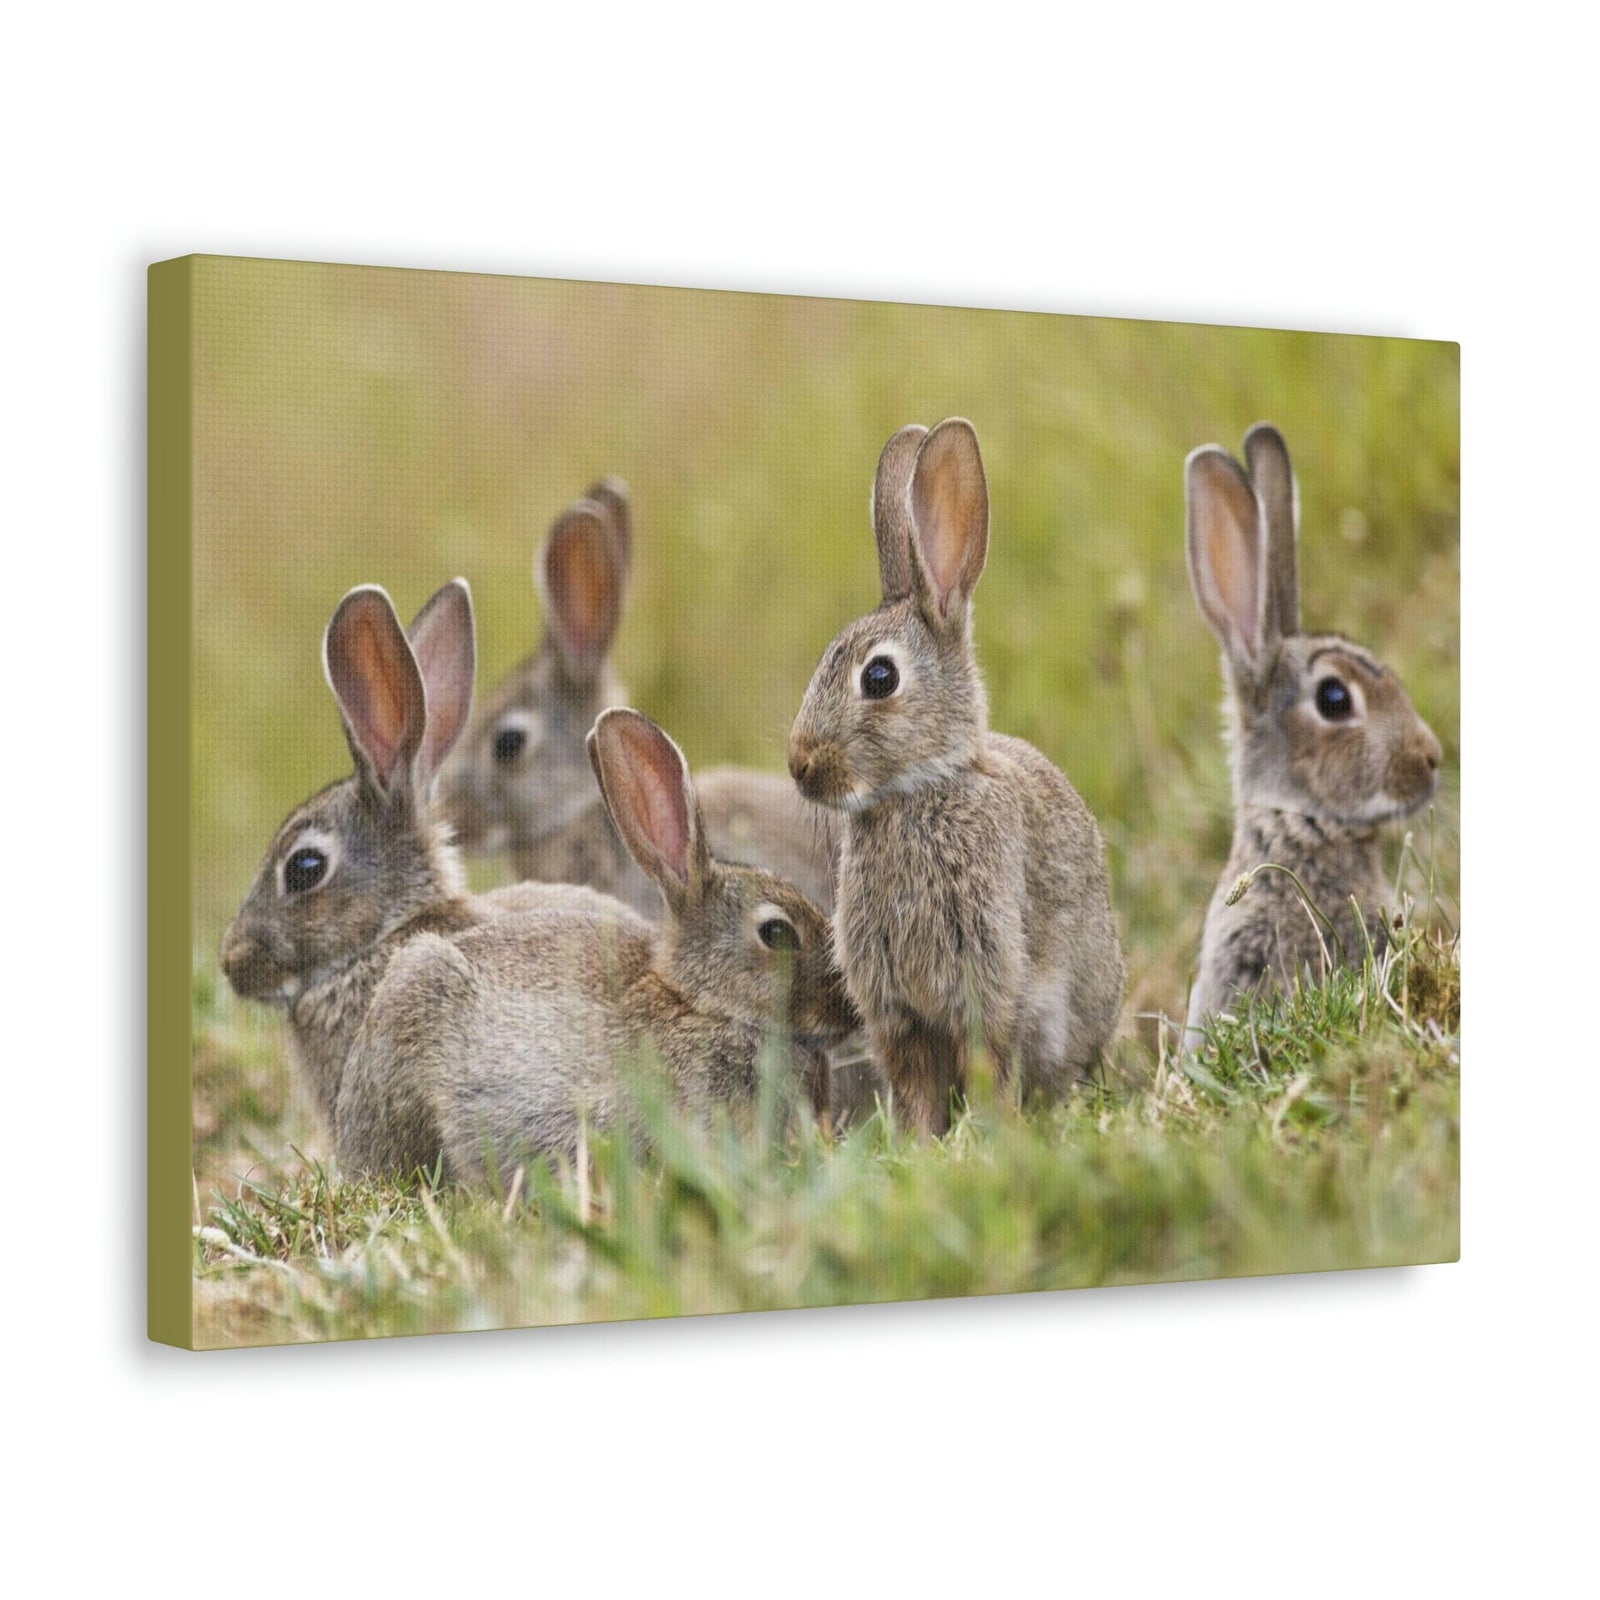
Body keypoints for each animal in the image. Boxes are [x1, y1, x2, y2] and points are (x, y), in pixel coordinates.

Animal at [786, 419, 1126, 1135]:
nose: (800, 766)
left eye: (878, 677)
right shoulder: (898, 1012)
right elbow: (917, 1084)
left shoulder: (986, 980)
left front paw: (993, 1134)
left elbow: (988, 1062)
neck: (918, 791)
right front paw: (923, 1142)